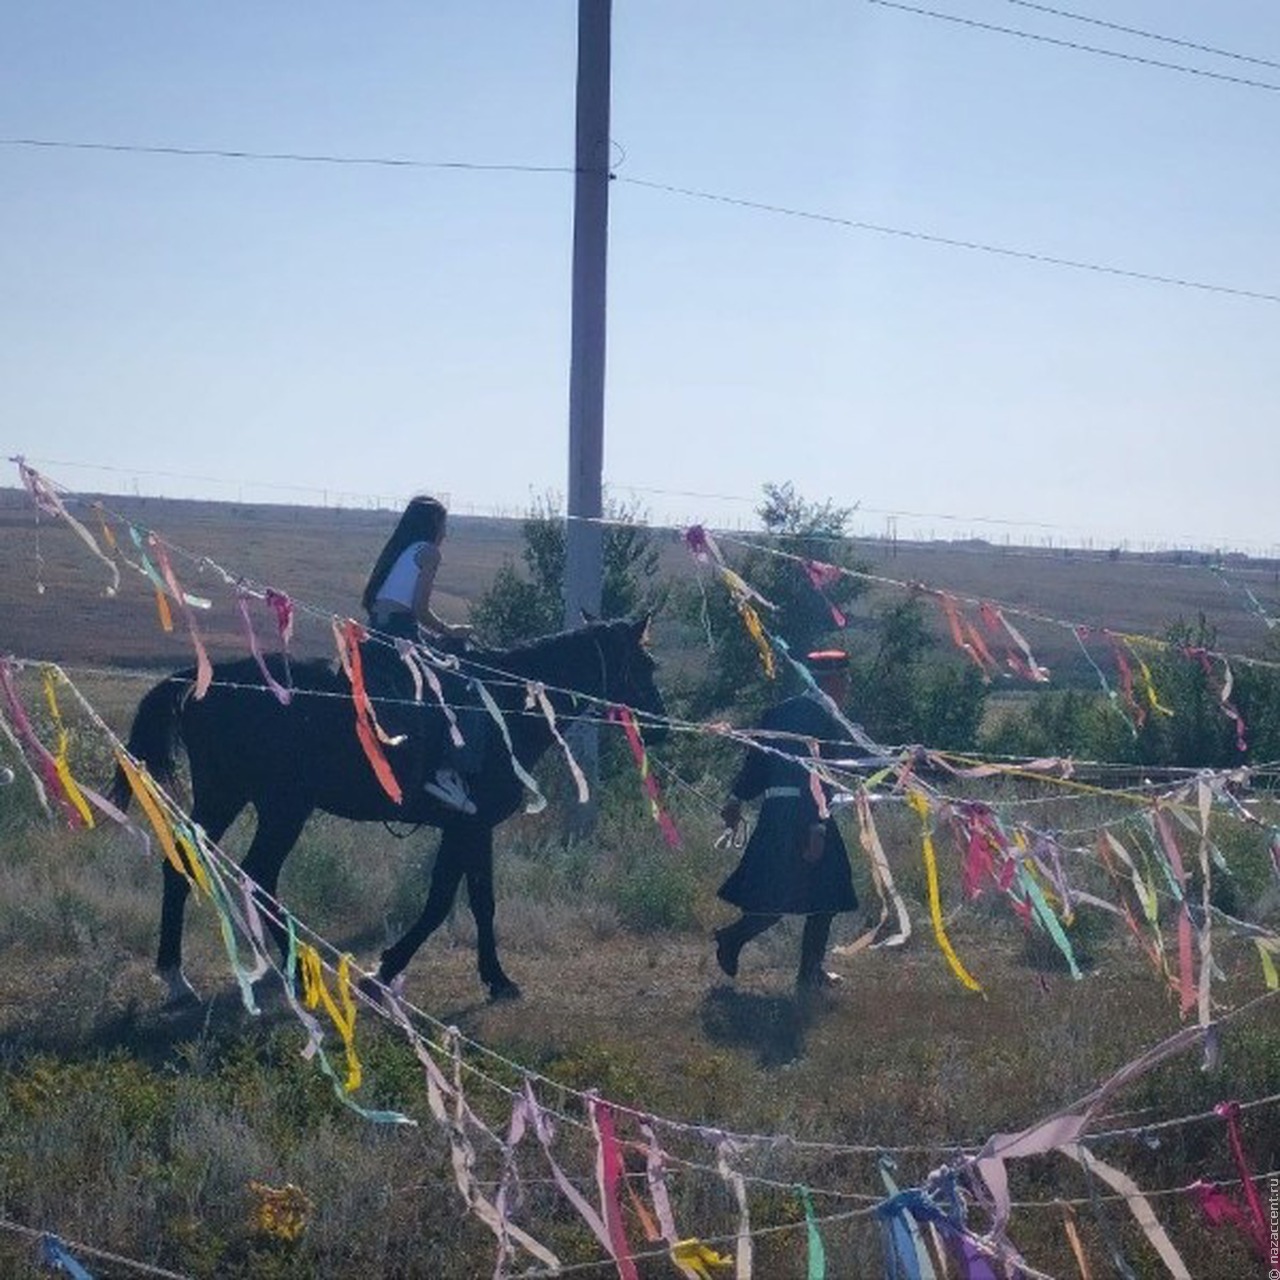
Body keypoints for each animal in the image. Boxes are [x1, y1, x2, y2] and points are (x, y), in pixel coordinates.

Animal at [110, 614, 665, 1003]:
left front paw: (449, 973)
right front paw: (413, 970)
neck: (504, 706)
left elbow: (460, 897)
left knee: (185, 864)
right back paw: (290, 969)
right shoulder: (472, 825)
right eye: (645, 666)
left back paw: (179, 976)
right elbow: (457, 901)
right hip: (280, 807)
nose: (661, 724)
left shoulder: (465, 827)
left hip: (231, 798)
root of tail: (201, 679)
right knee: (257, 873)